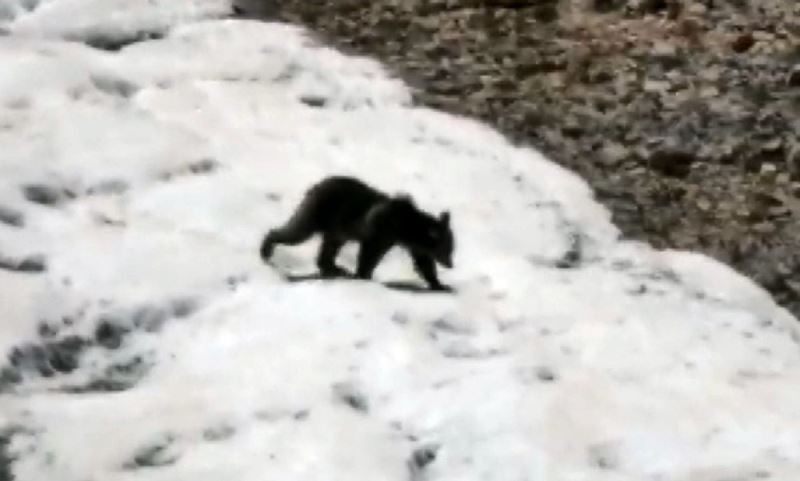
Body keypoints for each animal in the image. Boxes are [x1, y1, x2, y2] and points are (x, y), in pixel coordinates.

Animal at [260, 175, 454, 290]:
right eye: (448, 249)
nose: (451, 264)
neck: (408, 229)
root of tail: (317, 184)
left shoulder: (409, 243)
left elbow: (424, 262)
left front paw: (440, 285)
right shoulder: (382, 230)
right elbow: (369, 254)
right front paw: (363, 275)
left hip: (336, 227)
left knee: (328, 247)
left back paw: (334, 268)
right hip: (321, 211)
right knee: (297, 231)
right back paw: (266, 248)